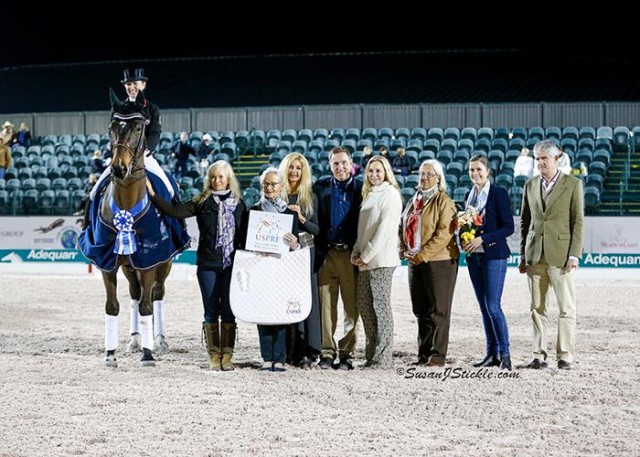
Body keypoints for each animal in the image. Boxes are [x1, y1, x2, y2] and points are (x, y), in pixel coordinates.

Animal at [78, 91, 190, 366]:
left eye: (139, 126)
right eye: (111, 126)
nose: (119, 168)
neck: (127, 204)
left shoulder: (150, 259)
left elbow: (147, 306)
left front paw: (148, 354)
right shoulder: (106, 262)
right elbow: (113, 305)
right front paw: (110, 354)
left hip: (164, 263)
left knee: (156, 294)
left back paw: (158, 342)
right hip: (128, 266)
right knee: (135, 294)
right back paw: (135, 340)